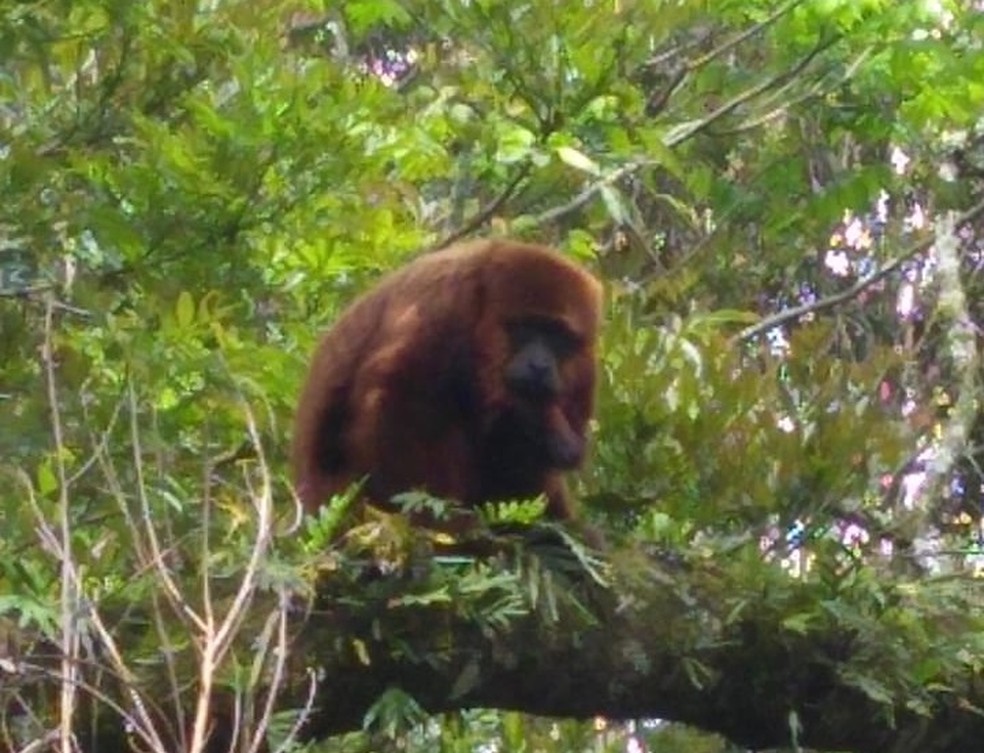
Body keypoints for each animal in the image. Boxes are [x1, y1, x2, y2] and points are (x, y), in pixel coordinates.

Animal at [290, 238, 602, 533]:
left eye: (558, 337)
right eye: (526, 328)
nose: (540, 365)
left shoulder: (585, 369)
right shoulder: (444, 307)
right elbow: (396, 397)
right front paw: (430, 517)